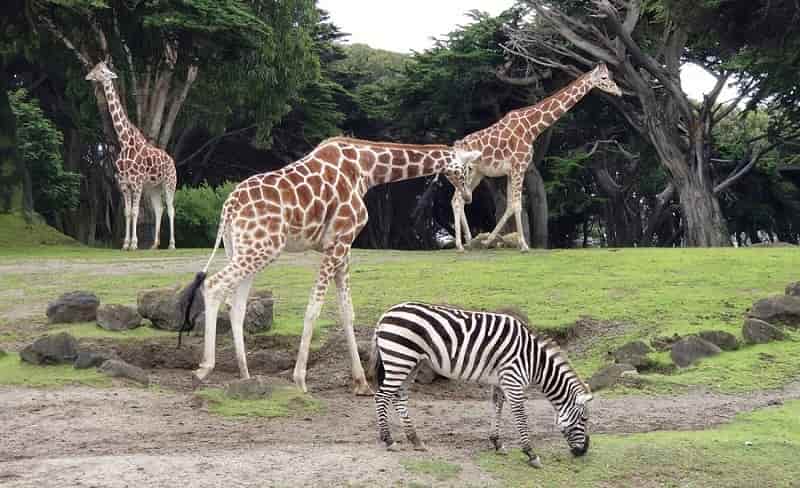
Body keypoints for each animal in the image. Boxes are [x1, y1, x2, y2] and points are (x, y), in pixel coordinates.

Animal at [85, 60, 177, 250]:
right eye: (95, 68)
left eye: (103, 71)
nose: (88, 76)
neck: (124, 141)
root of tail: (171, 160)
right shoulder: (124, 184)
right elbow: (127, 213)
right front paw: (125, 244)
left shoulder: (136, 183)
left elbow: (135, 212)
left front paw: (134, 244)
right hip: (153, 187)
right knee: (159, 209)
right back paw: (154, 245)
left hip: (169, 182)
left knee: (171, 209)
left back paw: (171, 245)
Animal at [180, 135, 482, 394]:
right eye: (468, 167)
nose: (468, 196)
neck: (367, 169)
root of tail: (228, 207)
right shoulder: (338, 242)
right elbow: (314, 307)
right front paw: (300, 379)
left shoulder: (344, 248)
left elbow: (347, 311)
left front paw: (361, 383)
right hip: (261, 248)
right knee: (213, 284)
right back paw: (205, 368)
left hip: (243, 248)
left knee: (236, 304)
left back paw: (245, 374)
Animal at [372, 302, 592, 468]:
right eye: (584, 419)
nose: (584, 452)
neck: (534, 360)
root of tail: (385, 315)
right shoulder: (513, 381)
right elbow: (520, 415)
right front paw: (531, 453)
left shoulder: (501, 382)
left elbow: (497, 406)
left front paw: (497, 443)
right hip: (400, 358)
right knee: (382, 396)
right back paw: (388, 440)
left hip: (412, 363)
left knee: (399, 397)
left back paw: (415, 439)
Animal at [446, 64, 620, 252]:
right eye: (604, 78)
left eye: (610, 75)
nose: (619, 91)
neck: (532, 127)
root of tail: (455, 147)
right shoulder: (519, 166)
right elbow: (517, 204)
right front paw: (523, 245)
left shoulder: (512, 170)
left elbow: (510, 205)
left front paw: (488, 241)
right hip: (468, 172)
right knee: (457, 199)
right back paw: (460, 245)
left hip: (478, 173)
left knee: (461, 199)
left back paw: (469, 241)